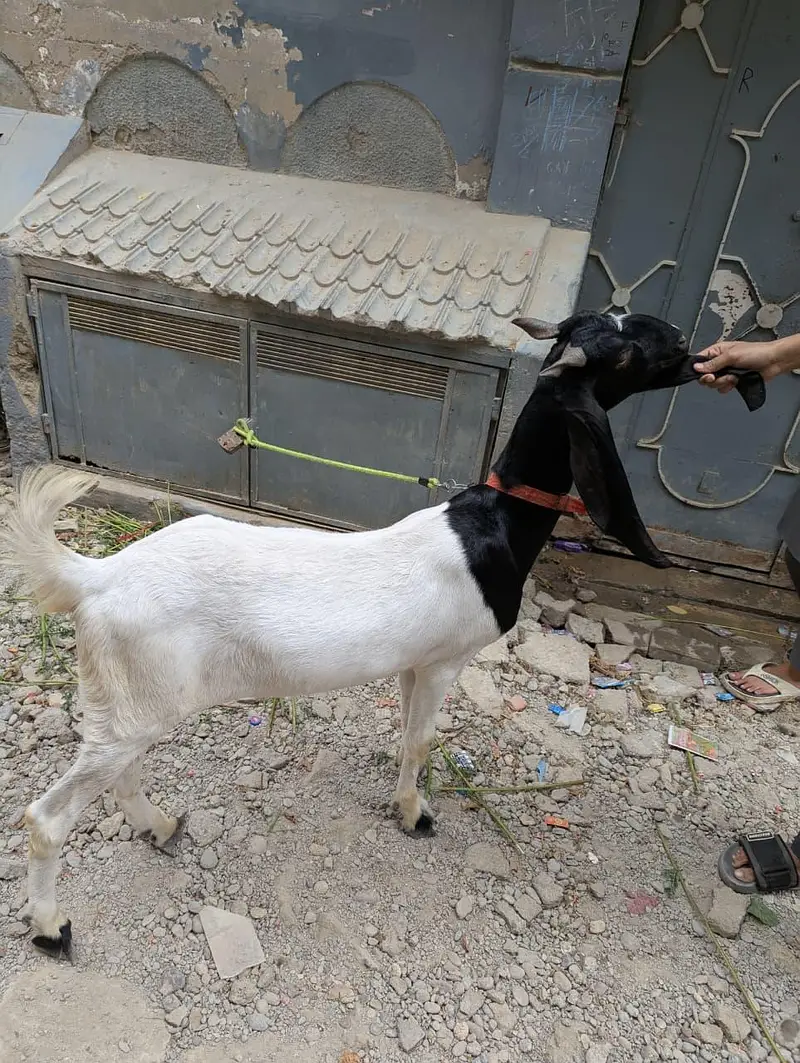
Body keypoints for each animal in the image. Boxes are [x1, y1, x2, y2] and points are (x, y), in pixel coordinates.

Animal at [2, 310, 760, 957]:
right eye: (626, 348)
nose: (688, 345)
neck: (492, 523)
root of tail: (95, 576)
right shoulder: (448, 658)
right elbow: (423, 740)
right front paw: (414, 814)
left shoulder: (411, 661)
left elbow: (403, 732)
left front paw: (399, 794)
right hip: (139, 695)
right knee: (49, 815)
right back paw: (51, 927)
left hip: (133, 698)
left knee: (122, 772)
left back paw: (158, 827)